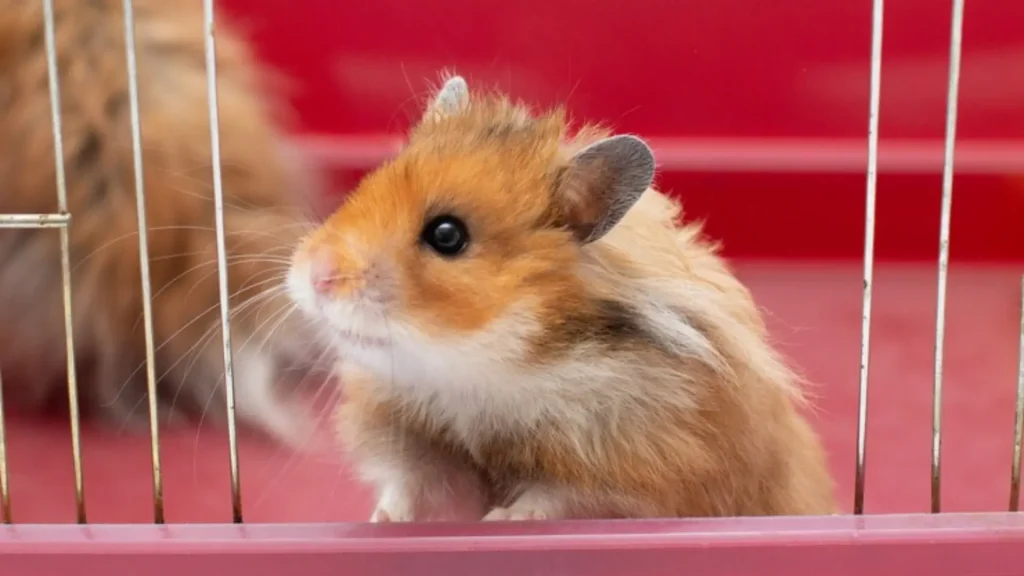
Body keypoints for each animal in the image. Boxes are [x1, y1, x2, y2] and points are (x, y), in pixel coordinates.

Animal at [289, 75, 837, 520]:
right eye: (365, 186)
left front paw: (501, 520)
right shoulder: (413, 437)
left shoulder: (633, 470)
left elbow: (553, 498)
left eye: (447, 235)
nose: (315, 275)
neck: (489, 370)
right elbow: (409, 484)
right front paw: (382, 520)